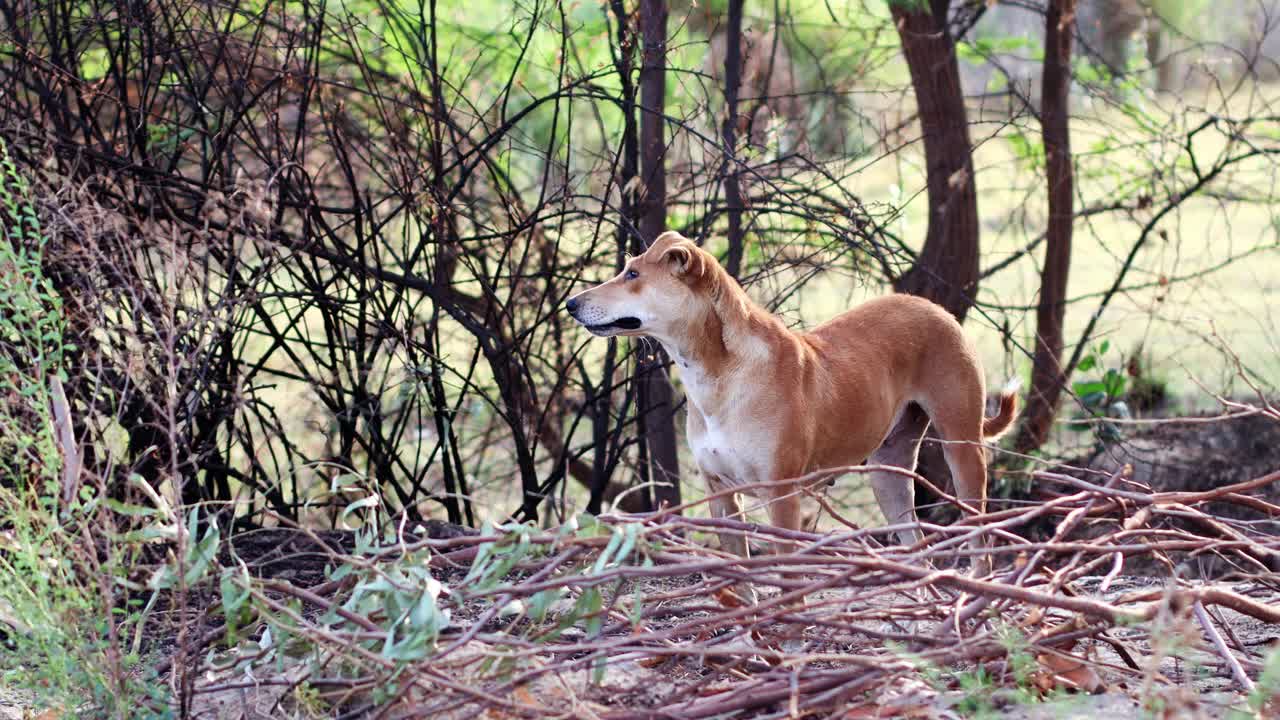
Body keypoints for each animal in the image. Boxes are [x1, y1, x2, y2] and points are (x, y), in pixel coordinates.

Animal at [565, 233, 1013, 568]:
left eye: (632, 274)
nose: (570, 303)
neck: (718, 374)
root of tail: (937, 308)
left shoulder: (780, 494)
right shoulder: (721, 494)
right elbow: (741, 580)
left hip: (963, 451)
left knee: (981, 541)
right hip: (889, 474)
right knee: (917, 546)